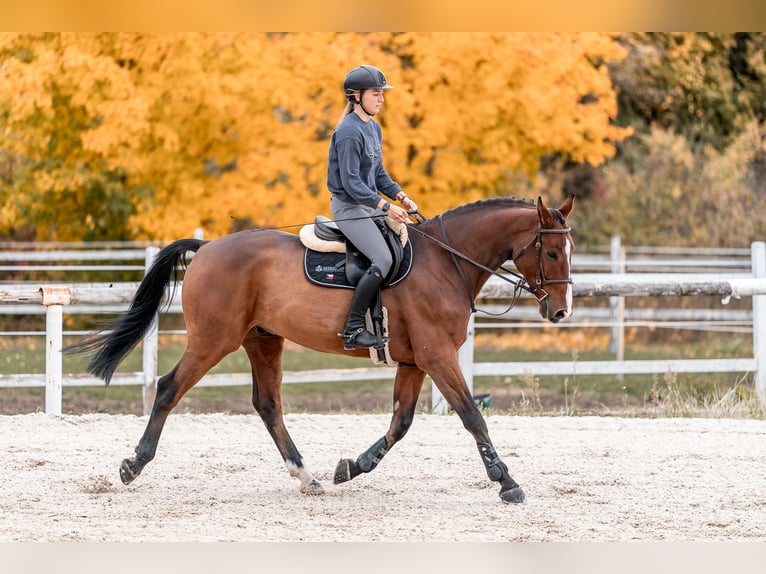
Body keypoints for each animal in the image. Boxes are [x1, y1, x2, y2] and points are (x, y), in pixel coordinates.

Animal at [68, 194, 575, 504]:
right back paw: (134, 464)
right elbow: (471, 416)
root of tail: (208, 247)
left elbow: (401, 423)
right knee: (170, 389)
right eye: (551, 253)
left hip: (263, 340)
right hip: (214, 339)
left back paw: (306, 475)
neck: (445, 262)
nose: (560, 313)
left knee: (268, 404)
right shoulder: (436, 357)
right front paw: (507, 482)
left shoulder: (414, 361)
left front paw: (351, 467)